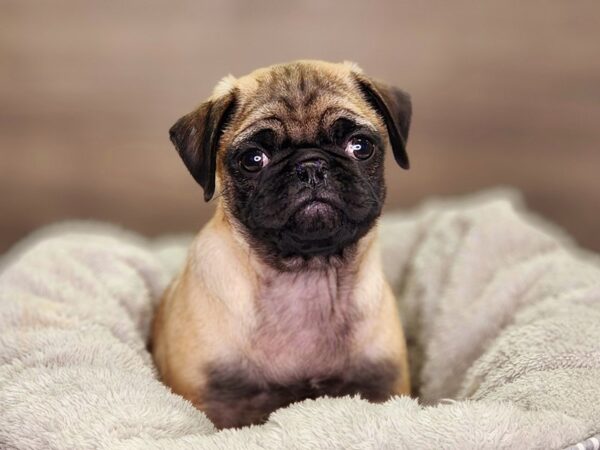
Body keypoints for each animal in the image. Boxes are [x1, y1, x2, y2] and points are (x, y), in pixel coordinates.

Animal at [151, 59, 412, 428]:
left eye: (360, 146)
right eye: (253, 159)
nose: (311, 166)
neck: (306, 277)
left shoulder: (384, 386)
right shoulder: (212, 403)